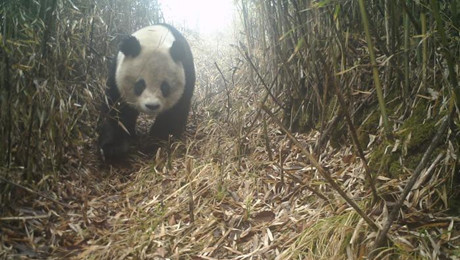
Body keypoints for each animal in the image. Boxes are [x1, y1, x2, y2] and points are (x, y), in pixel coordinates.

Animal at [98, 24, 195, 159]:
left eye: (165, 87)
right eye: (140, 85)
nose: (152, 106)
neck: (154, 38)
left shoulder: (186, 76)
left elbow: (173, 114)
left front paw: (155, 143)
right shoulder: (116, 76)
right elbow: (116, 110)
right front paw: (113, 149)